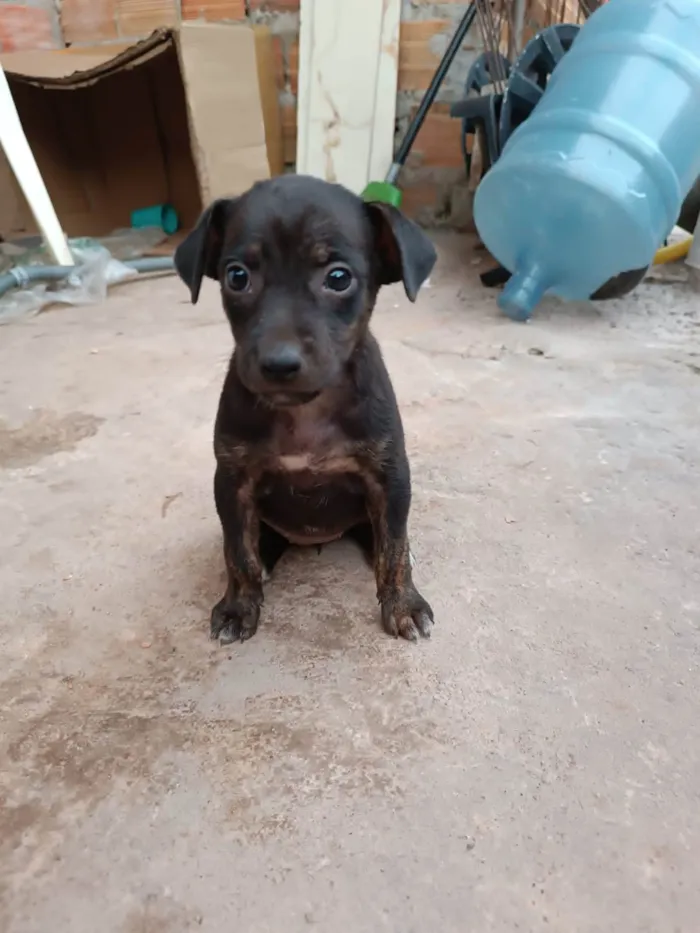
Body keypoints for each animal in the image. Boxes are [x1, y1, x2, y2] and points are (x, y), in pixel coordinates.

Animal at [174, 173, 438, 640]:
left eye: (338, 278)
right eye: (236, 276)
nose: (279, 363)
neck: (306, 411)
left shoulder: (389, 478)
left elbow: (394, 547)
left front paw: (402, 603)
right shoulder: (232, 482)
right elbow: (236, 552)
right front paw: (239, 605)